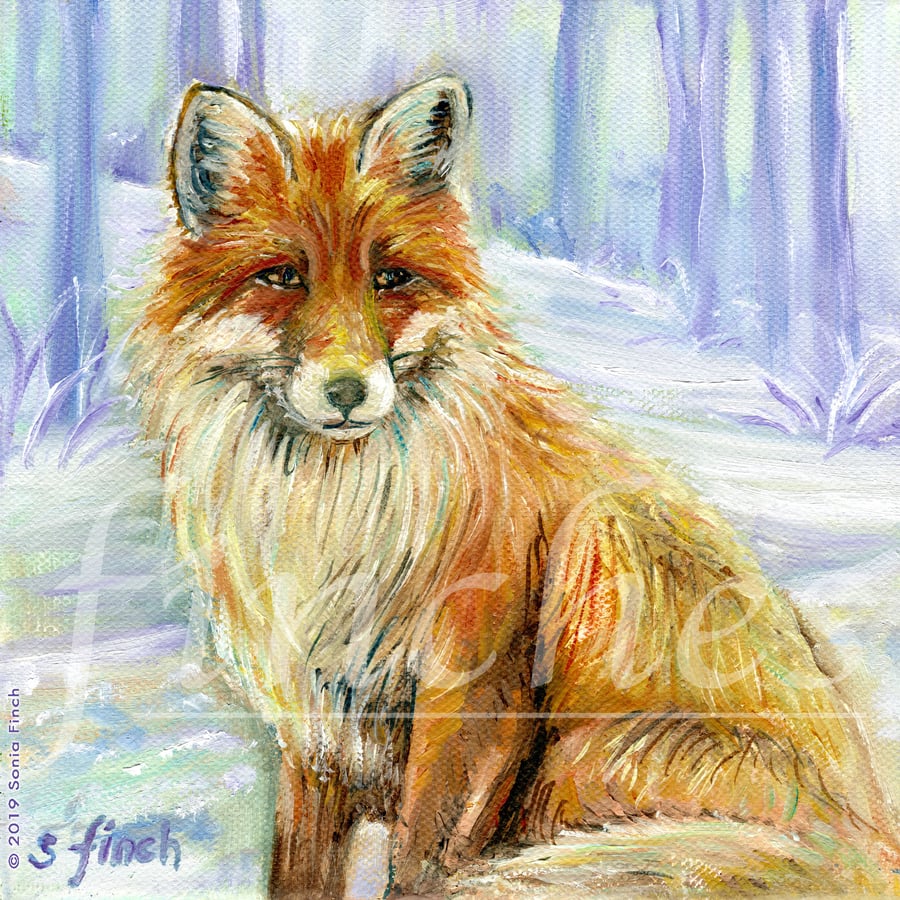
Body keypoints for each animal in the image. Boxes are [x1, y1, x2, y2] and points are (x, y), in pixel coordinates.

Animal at [127, 76, 898, 897]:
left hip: (597, 595)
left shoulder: (469, 696)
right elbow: (299, 870)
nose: (346, 391)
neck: (339, 525)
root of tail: (868, 847)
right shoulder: (317, 723)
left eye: (390, 278)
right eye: (282, 276)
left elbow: (422, 860)